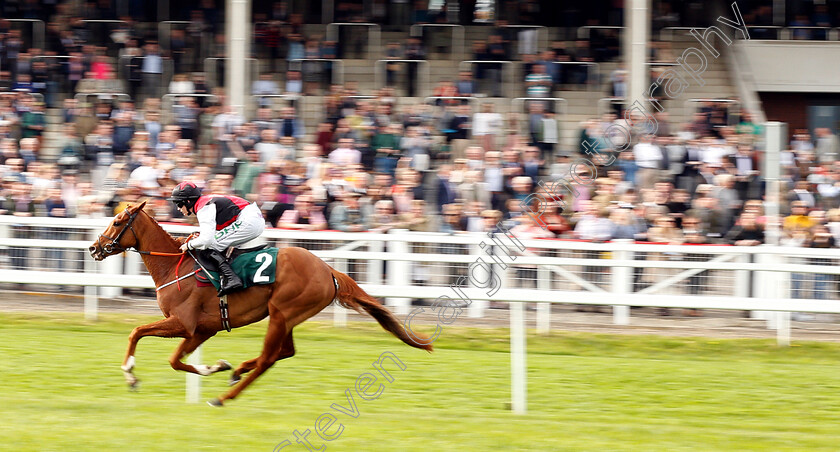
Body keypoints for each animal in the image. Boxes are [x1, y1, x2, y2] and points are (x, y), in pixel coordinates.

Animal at [88, 201, 434, 406]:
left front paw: (131, 373)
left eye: (117, 222)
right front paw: (216, 366)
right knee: (285, 351)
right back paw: (238, 370)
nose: (94, 248)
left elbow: (139, 333)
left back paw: (225, 396)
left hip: (282, 312)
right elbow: (175, 359)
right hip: (288, 316)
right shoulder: (202, 329)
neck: (174, 265)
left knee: (269, 358)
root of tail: (328, 270)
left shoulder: (183, 323)